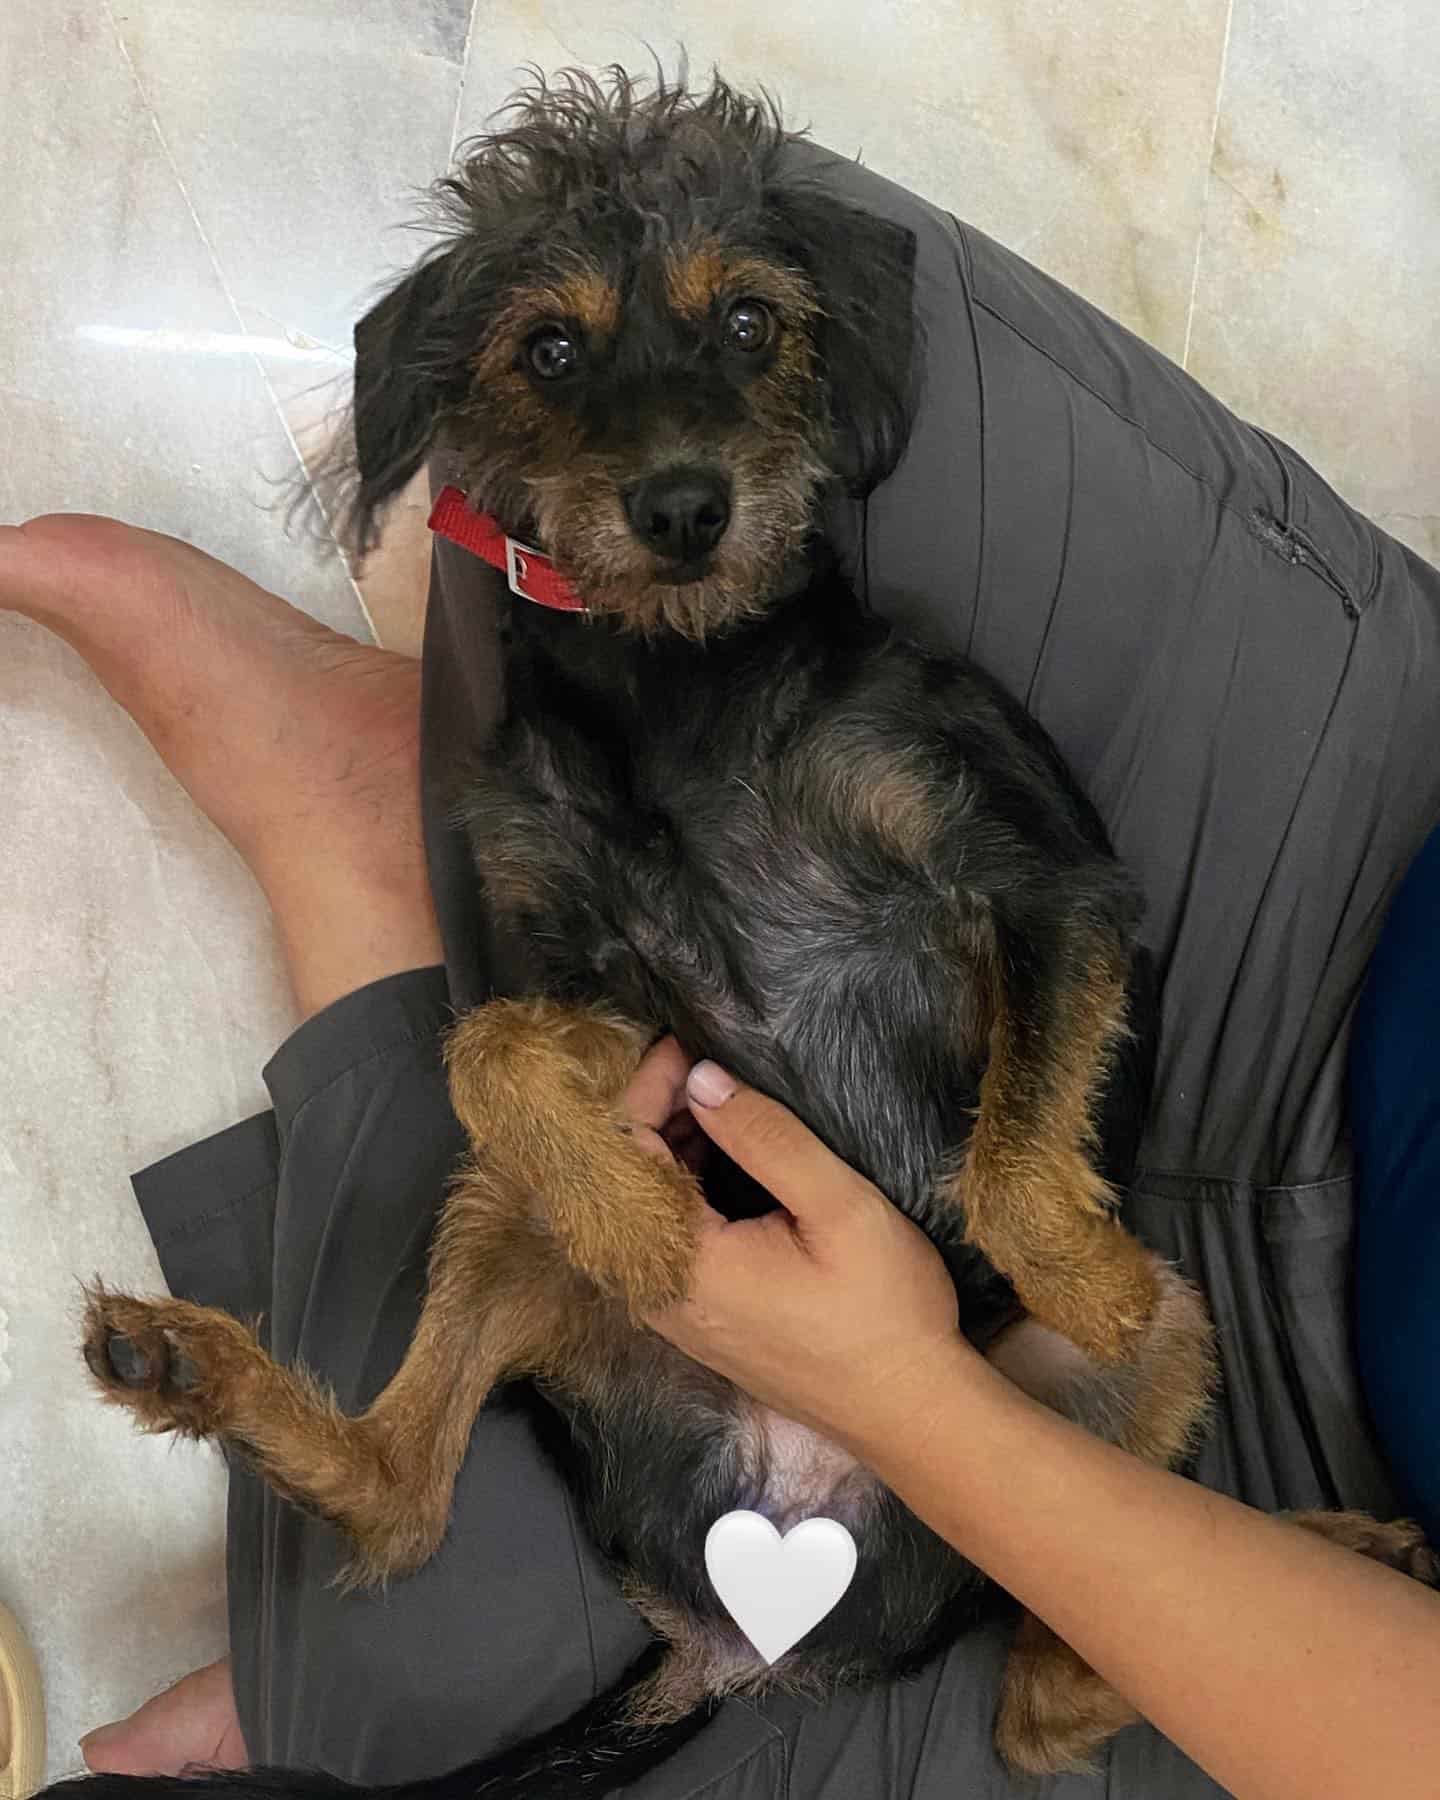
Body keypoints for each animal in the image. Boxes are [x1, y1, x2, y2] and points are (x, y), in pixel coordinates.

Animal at [62, 63, 1432, 1792]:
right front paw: (640, 1218)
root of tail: (743, 1626)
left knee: (1041, 1698)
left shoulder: (1040, 881)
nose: (683, 508)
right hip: (504, 1234)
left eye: (750, 322)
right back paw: (189, 1364)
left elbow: (1009, 1158)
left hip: (1123, 1398)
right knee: (403, 1500)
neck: (680, 683)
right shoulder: (615, 995)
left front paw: (1078, 1267)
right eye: (549, 348)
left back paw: (1347, 1539)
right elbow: (487, 1047)